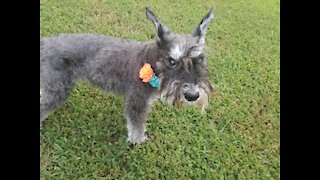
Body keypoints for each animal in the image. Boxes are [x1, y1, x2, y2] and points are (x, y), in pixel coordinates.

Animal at [40, 7, 215, 144]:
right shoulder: (137, 101)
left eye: (200, 58)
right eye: (172, 61)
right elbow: (136, 125)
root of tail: (46, 43)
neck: (151, 61)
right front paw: (137, 141)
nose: (192, 95)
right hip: (57, 89)